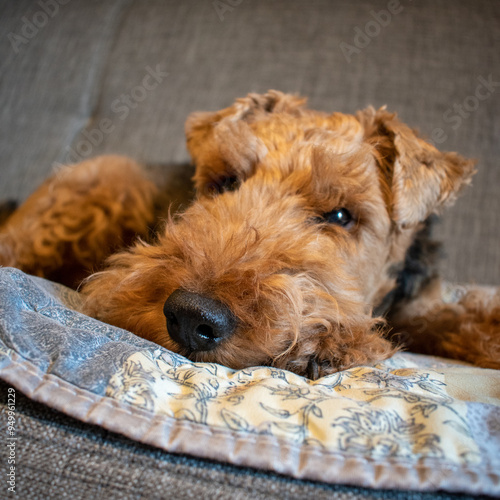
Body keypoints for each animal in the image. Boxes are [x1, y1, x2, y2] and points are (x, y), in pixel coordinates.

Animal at [0, 91, 498, 378]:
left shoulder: (421, 304)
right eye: (225, 182)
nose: (191, 316)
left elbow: (457, 320)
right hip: (100, 187)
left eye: (341, 215)